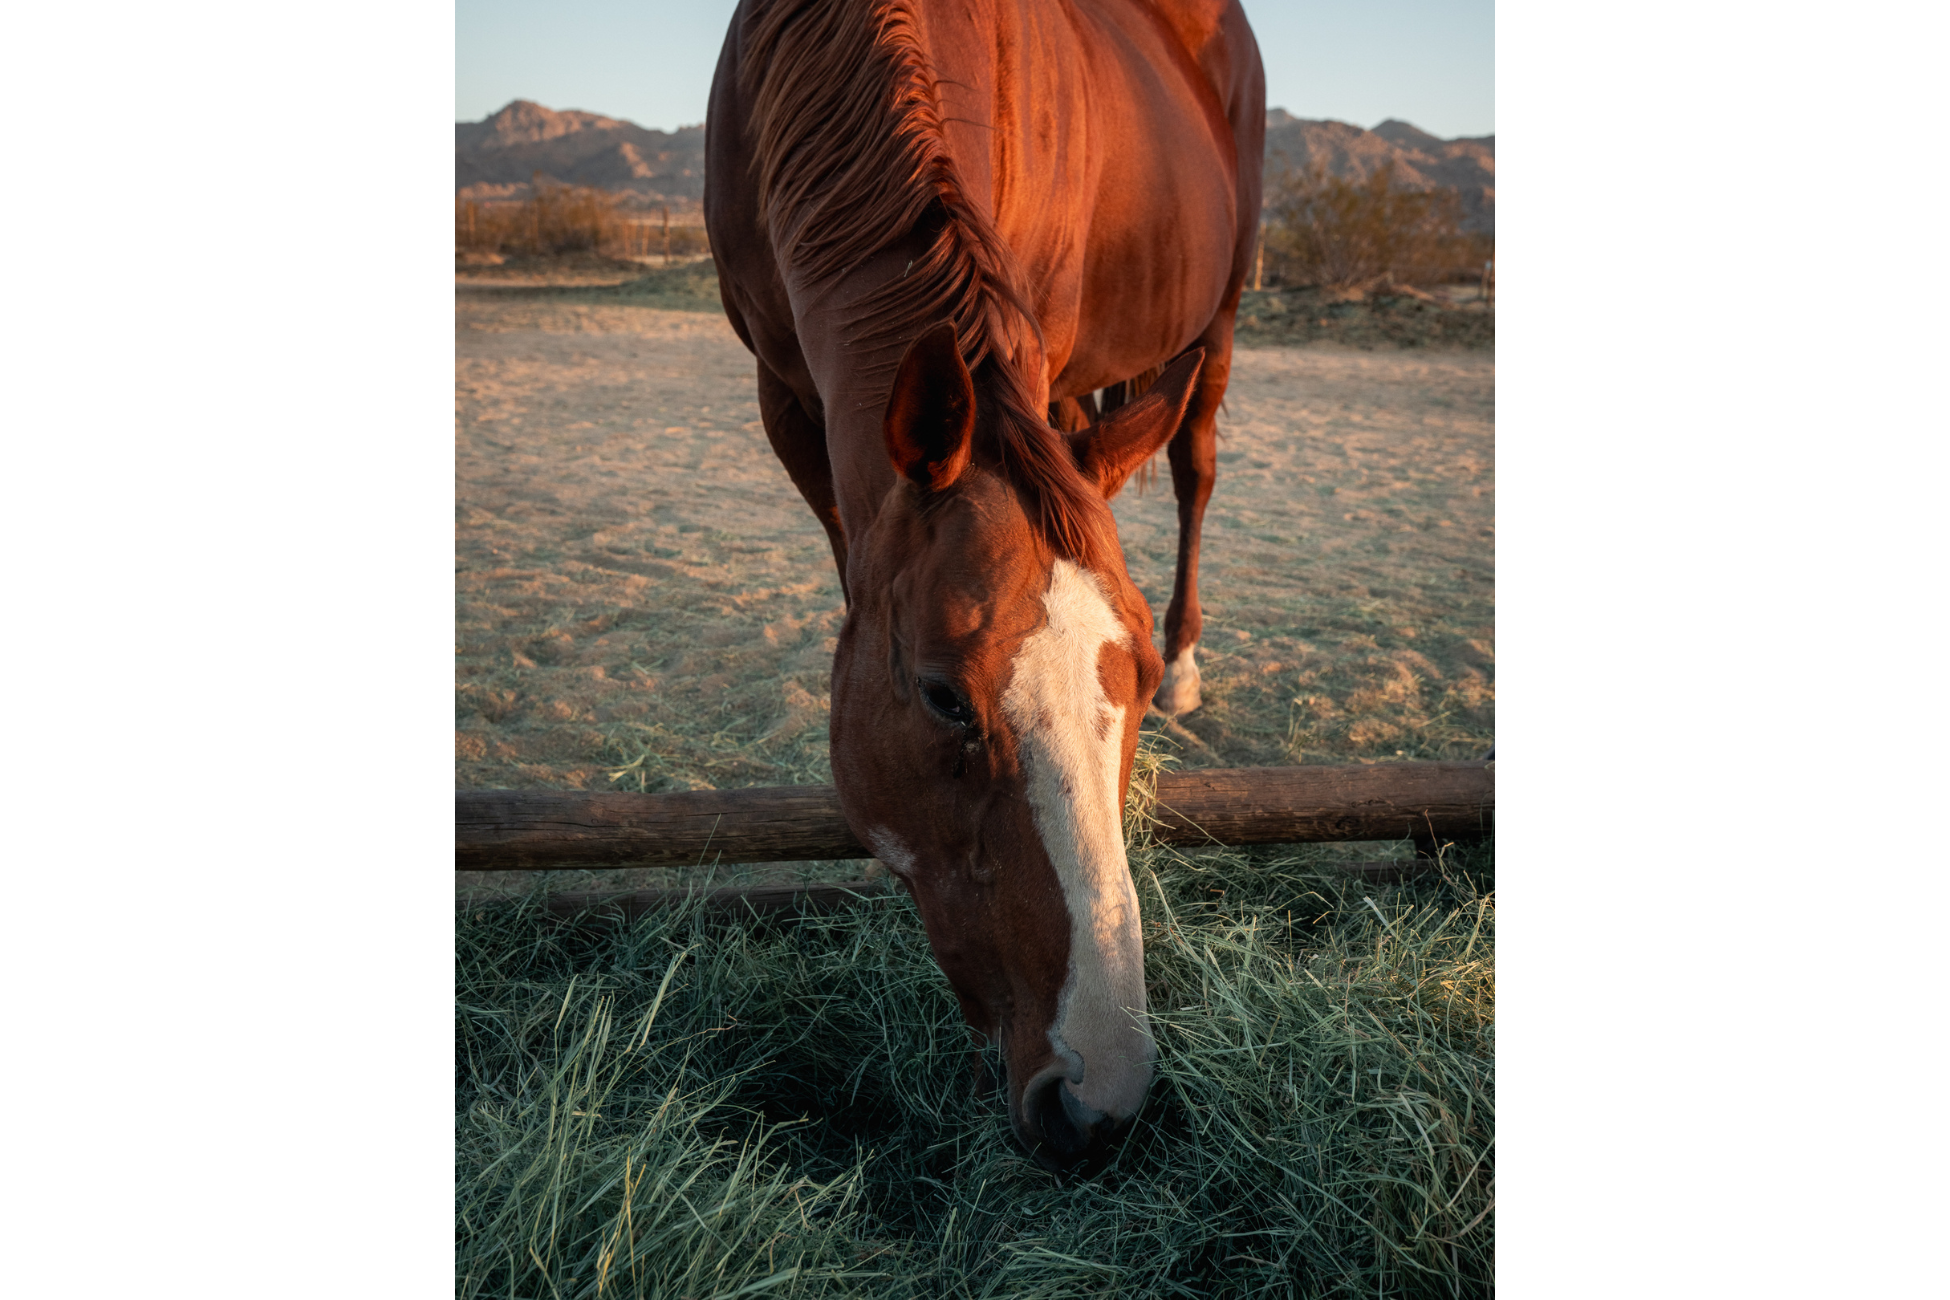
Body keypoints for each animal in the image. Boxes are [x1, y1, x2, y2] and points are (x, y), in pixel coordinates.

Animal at [706, 0, 1263, 1170]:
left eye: (1137, 680)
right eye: (941, 698)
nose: (1100, 1100)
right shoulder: (786, 394)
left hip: (1220, 312)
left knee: (1195, 462)